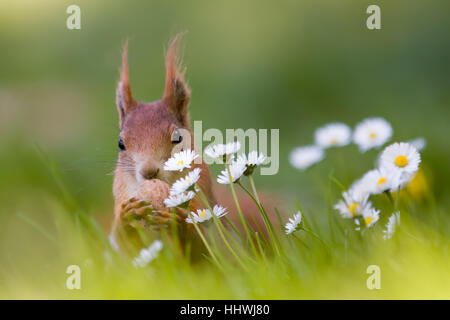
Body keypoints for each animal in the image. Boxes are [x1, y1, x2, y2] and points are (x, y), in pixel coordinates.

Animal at [109, 34, 280, 255]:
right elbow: (125, 245)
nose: (149, 172)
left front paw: (179, 222)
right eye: (121, 143)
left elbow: (205, 245)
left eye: (178, 137)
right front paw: (128, 216)